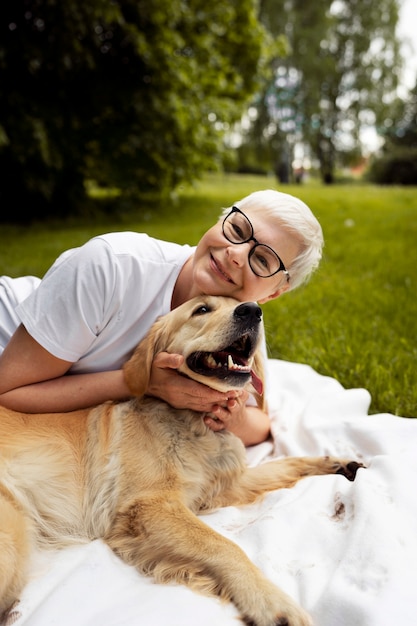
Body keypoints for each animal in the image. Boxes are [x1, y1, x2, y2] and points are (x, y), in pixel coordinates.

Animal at [0, 296, 362, 624]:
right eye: (201, 309)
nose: (252, 310)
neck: (194, 422)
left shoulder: (225, 485)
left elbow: (285, 464)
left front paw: (336, 462)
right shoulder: (150, 506)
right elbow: (224, 546)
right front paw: (272, 602)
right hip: (12, 536)